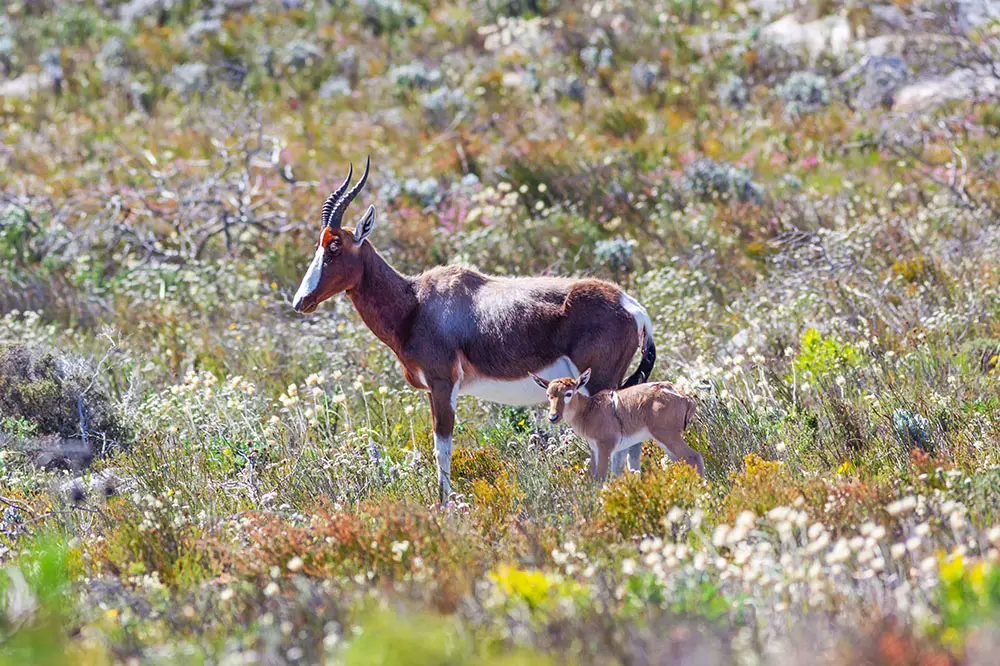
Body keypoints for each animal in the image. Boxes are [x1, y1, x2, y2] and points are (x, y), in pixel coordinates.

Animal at [532, 368, 704, 478]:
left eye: (568, 393)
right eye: (548, 394)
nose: (553, 417)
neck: (589, 409)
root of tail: (684, 397)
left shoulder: (605, 448)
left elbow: (600, 479)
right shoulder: (601, 450)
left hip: (667, 437)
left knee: (694, 457)